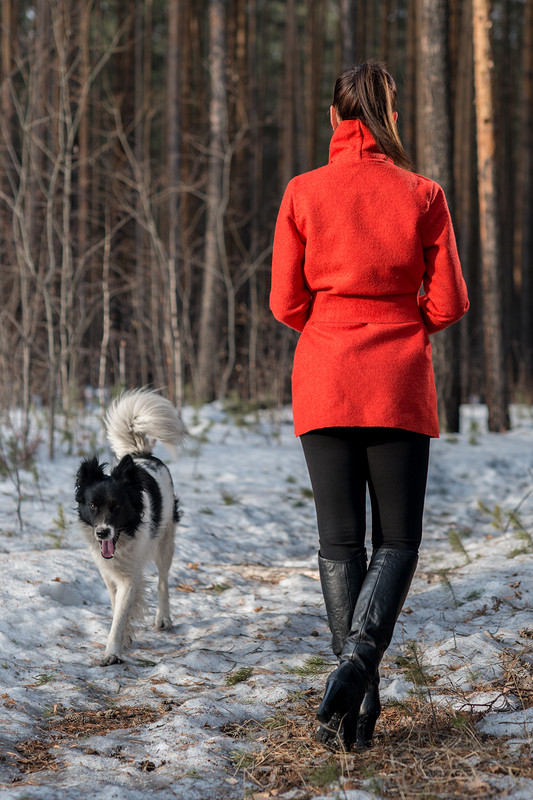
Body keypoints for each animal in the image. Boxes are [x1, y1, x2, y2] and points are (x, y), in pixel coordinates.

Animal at [74, 390, 184, 664]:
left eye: (116, 506)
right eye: (92, 506)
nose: (102, 532)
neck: (123, 537)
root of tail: (141, 454)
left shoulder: (129, 577)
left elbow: (122, 612)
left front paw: (112, 651)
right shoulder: (108, 572)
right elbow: (116, 607)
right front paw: (123, 639)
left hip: (165, 542)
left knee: (163, 580)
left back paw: (163, 618)